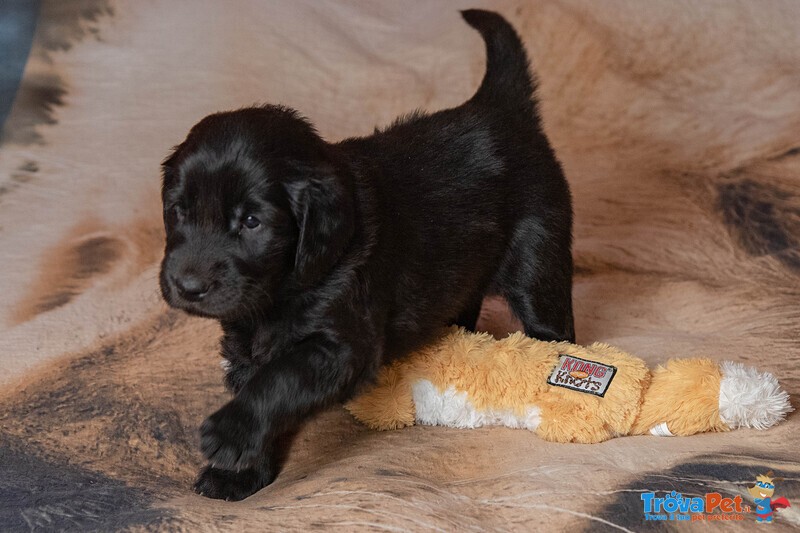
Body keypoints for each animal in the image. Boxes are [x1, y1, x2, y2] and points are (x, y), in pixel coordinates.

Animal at [159, 9, 572, 498]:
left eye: (252, 222)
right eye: (178, 212)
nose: (188, 286)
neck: (283, 290)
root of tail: (498, 107)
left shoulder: (343, 344)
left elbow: (278, 379)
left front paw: (229, 434)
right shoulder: (245, 342)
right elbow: (258, 384)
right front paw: (240, 473)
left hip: (538, 256)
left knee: (553, 322)